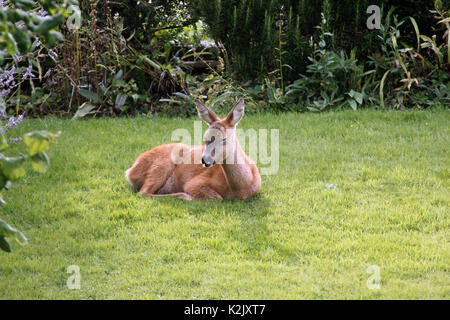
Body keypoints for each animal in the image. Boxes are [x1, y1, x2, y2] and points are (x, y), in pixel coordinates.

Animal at [125, 99, 260, 201]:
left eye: (224, 139)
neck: (240, 188)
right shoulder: (194, 183)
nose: (204, 159)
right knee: (143, 192)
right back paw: (183, 195)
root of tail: (130, 170)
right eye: (204, 138)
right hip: (161, 165)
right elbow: (217, 197)